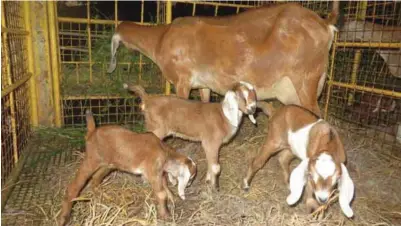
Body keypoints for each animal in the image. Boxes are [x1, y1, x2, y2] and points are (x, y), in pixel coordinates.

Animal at [58, 110, 196, 225]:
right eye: (190, 178)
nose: (189, 185)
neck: (165, 152)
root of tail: (92, 132)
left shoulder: (158, 172)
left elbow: (165, 185)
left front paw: (173, 199)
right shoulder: (152, 171)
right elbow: (161, 193)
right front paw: (166, 215)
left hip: (109, 164)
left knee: (96, 178)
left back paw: (104, 198)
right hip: (92, 159)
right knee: (74, 186)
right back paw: (64, 218)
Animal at [123, 82, 256, 190]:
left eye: (254, 94)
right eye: (242, 95)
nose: (253, 109)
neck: (223, 116)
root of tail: (148, 99)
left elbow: (210, 164)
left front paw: (208, 181)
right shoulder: (210, 142)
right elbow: (216, 167)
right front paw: (215, 188)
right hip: (156, 129)